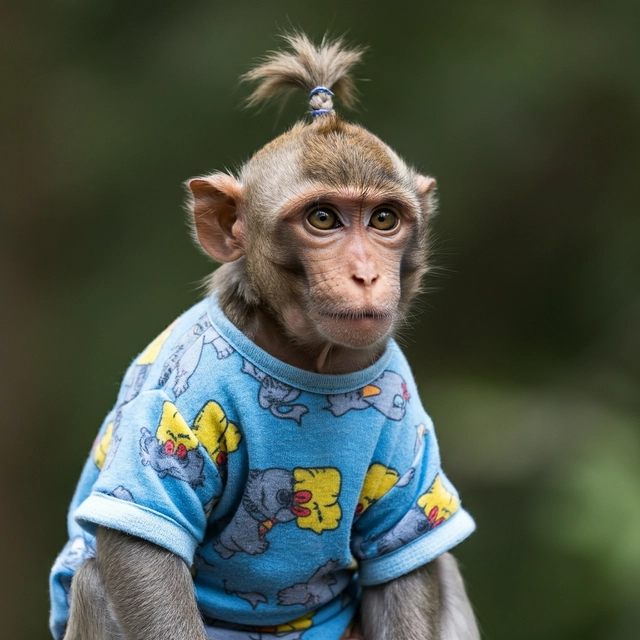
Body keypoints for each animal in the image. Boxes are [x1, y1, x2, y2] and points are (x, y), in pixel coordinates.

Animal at [49, 34, 480, 640]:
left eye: (384, 220)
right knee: (93, 577)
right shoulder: (175, 398)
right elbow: (141, 555)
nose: (366, 275)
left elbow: (404, 560)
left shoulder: (406, 416)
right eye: (323, 218)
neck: (307, 362)